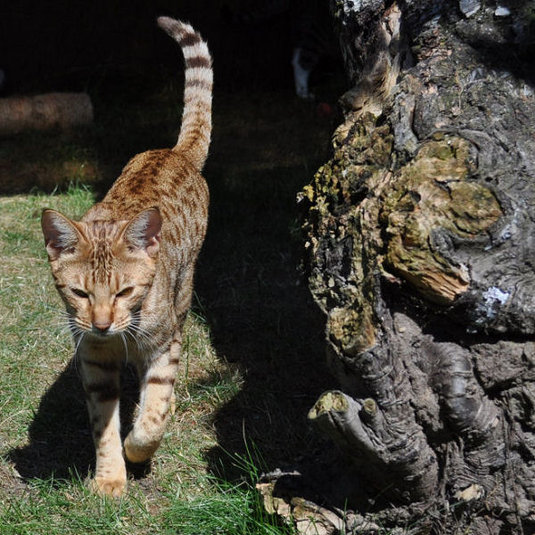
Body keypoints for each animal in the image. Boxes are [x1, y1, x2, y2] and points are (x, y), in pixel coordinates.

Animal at [40, 16, 212, 497]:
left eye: (125, 291)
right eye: (79, 293)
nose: (101, 323)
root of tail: (172, 151)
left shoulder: (163, 344)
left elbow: (154, 413)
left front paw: (138, 448)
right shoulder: (94, 360)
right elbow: (103, 425)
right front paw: (110, 477)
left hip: (184, 291)